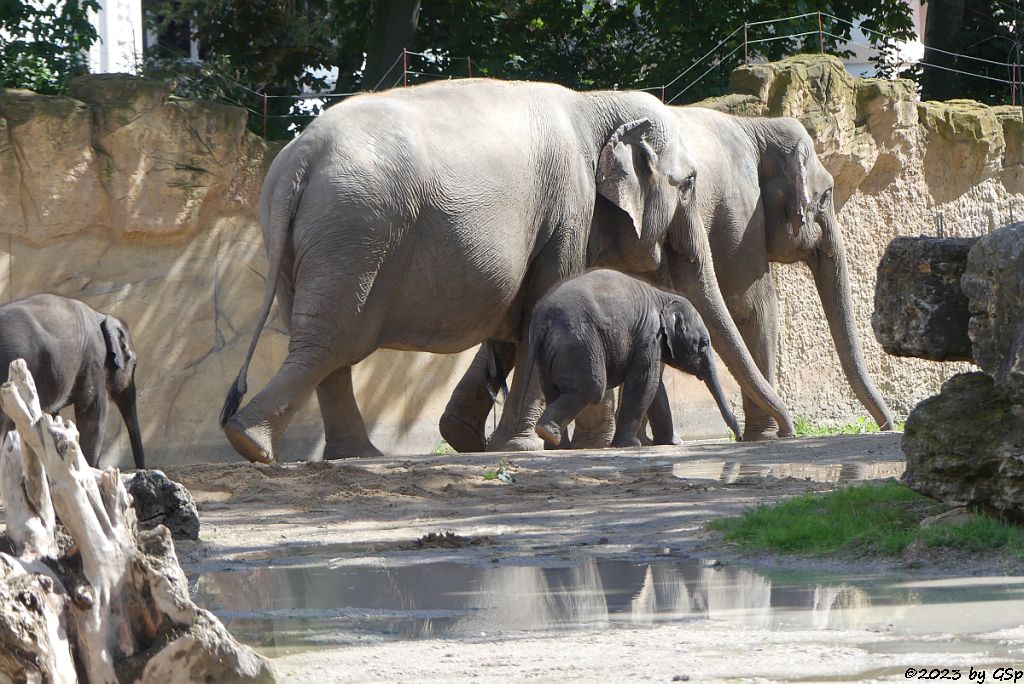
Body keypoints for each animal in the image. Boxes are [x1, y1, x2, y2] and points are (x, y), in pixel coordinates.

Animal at [0, 294, 145, 471]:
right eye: (134, 362)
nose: (141, 471)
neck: (102, 316)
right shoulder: (94, 361)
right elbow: (93, 411)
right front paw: (92, 470)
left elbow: (51, 418)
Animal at [524, 266, 741, 448]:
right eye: (704, 343)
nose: (738, 437)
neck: (663, 296)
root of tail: (541, 318)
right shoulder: (649, 336)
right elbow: (644, 382)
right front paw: (630, 444)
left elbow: (656, 387)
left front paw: (670, 443)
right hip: (577, 343)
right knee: (592, 388)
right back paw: (549, 434)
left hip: (549, 353)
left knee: (553, 391)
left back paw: (558, 445)